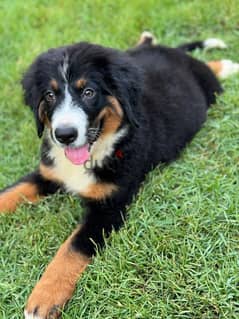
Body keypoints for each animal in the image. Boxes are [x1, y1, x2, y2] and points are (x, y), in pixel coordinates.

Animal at [0, 31, 239, 318]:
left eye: (89, 92)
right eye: (49, 95)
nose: (65, 135)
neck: (96, 151)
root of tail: (173, 53)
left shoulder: (109, 207)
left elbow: (71, 249)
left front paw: (43, 299)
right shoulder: (48, 173)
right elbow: (11, 193)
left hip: (210, 89)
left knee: (209, 70)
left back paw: (227, 66)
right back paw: (148, 38)